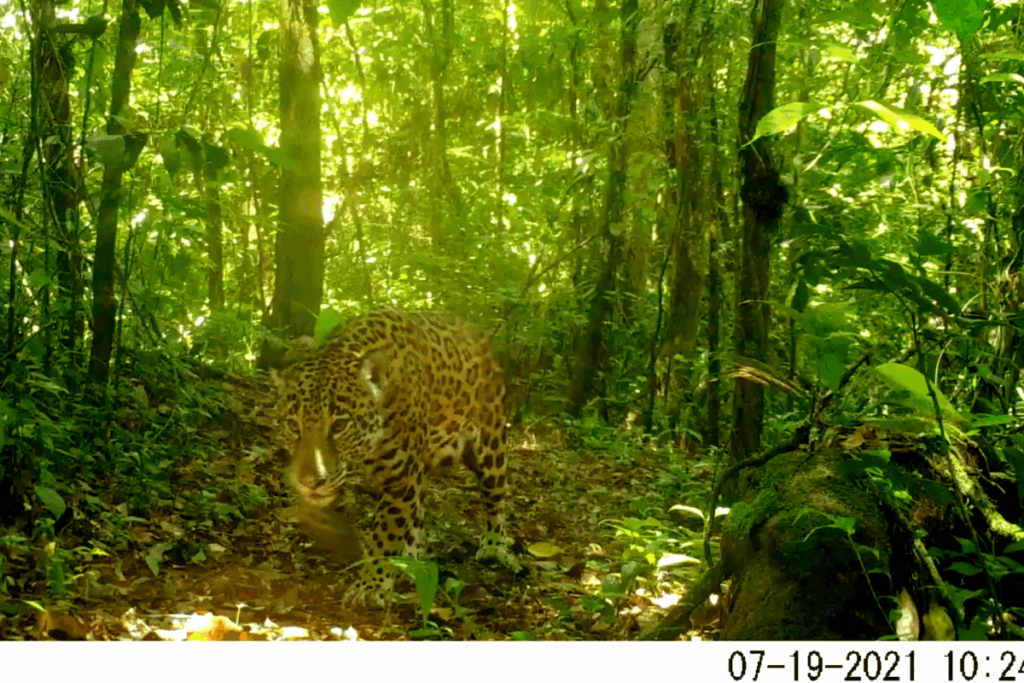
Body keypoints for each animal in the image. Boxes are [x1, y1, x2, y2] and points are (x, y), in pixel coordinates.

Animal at [271, 310, 513, 604]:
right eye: (293, 425)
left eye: (340, 425)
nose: (311, 482)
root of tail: (474, 329)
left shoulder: (401, 476)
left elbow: (386, 532)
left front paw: (370, 586)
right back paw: (411, 558)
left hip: (490, 443)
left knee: (495, 495)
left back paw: (495, 546)